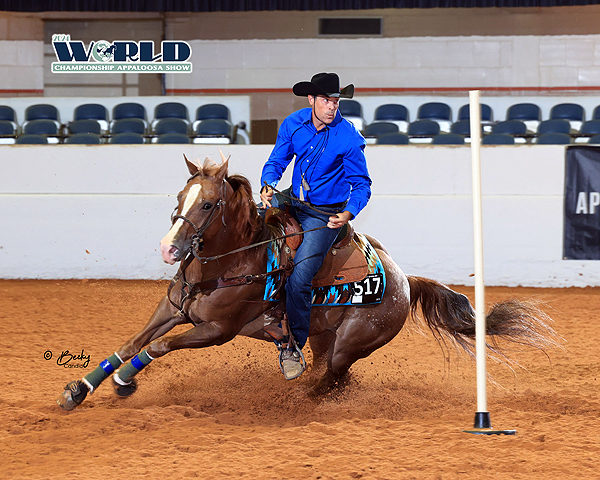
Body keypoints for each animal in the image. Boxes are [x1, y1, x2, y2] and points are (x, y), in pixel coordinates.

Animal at [57, 156, 556, 410]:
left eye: (208, 205)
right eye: (181, 196)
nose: (168, 248)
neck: (228, 263)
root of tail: (404, 281)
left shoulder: (215, 331)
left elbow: (157, 347)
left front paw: (125, 382)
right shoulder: (172, 309)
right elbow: (132, 341)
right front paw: (79, 389)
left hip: (351, 343)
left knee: (332, 378)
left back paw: (296, 399)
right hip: (320, 334)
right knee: (322, 368)